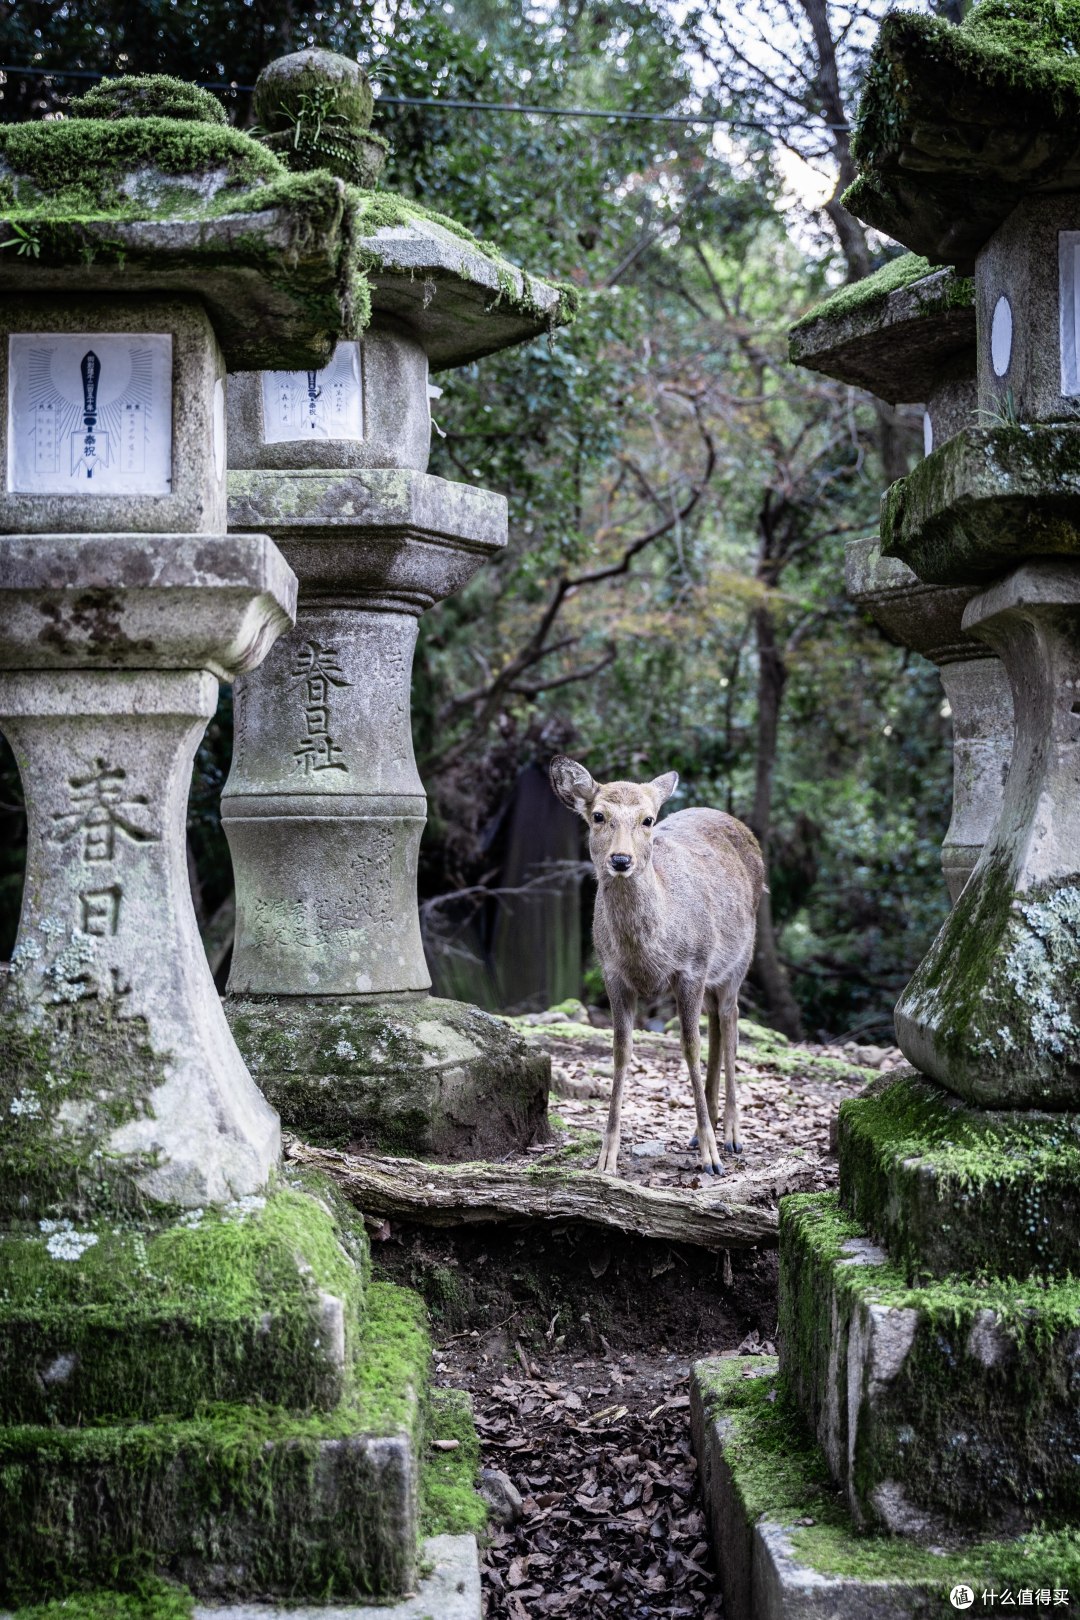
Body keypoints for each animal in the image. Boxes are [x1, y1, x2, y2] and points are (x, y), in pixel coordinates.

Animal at [550, 758, 767, 1179]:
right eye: (598, 816)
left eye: (648, 819)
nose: (621, 859)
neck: (648, 952)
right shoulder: (612, 974)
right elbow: (621, 1051)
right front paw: (606, 1157)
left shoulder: (692, 968)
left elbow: (689, 1047)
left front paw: (711, 1159)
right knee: (717, 1024)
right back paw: (702, 1130)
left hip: (739, 959)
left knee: (730, 1021)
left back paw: (731, 1135)